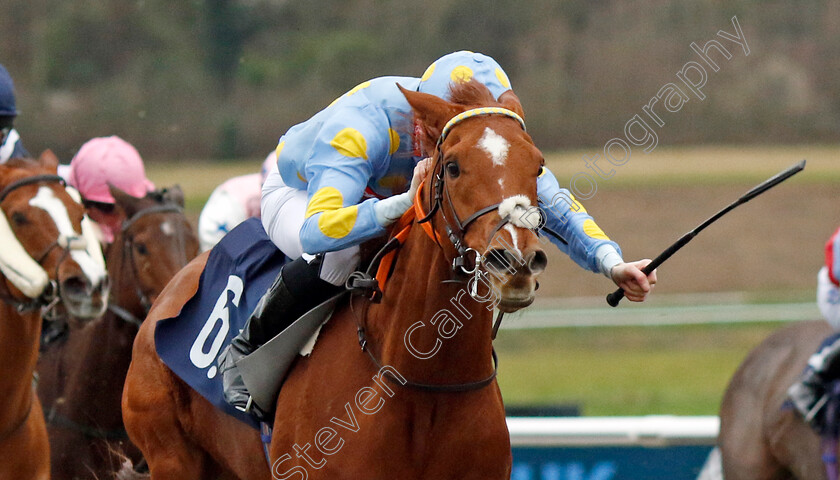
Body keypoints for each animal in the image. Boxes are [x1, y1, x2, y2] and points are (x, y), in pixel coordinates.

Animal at [121, 80, 548, 478]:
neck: (425, 384)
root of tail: (171, 291)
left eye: (538, 165)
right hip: (172, 456)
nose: (515, 262)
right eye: (454, 166)